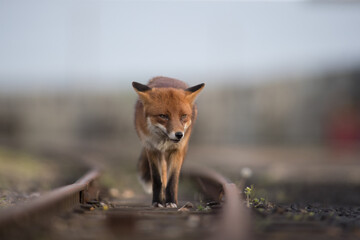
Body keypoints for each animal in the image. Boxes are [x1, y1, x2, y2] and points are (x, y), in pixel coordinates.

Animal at [132, 77, 205, 208]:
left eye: (183, 116)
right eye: (163, 116)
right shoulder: (152, 149)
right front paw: (157, 201)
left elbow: (172, 180)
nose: (179, 135)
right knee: (163, 175)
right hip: (160, 155)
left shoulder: (177, 150)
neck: (163, 141)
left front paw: (171, 201)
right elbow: (157, 179)